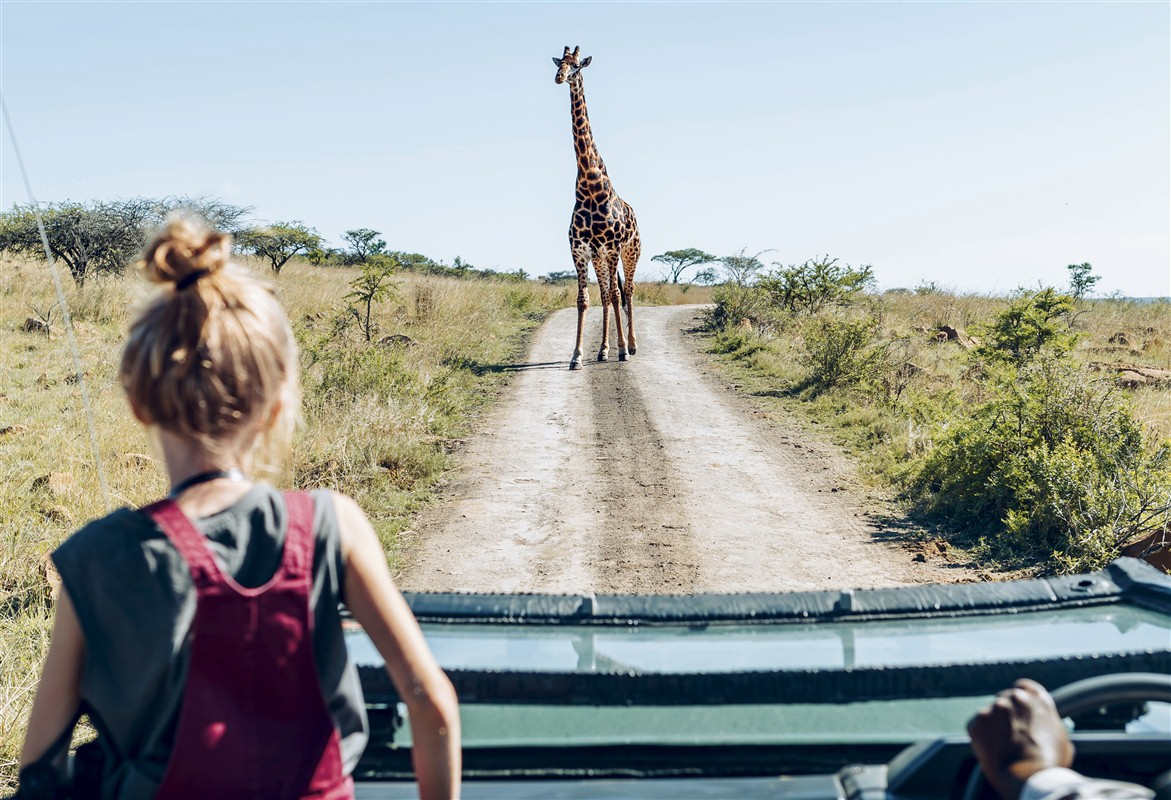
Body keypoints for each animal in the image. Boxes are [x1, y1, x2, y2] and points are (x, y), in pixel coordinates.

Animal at [555, 43, 646, 370]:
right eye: (558, 63)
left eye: (577, 65)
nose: (560, 77)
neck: (590, 186)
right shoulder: (581, 249)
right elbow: (585, 299)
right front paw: (577, 355)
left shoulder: (612, 247)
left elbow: (619, 295)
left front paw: (622, 350)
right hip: (600, 257)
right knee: (607, 294)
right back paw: (603, 350)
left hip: (630, 252)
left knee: (627, 291)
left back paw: (630, 345)